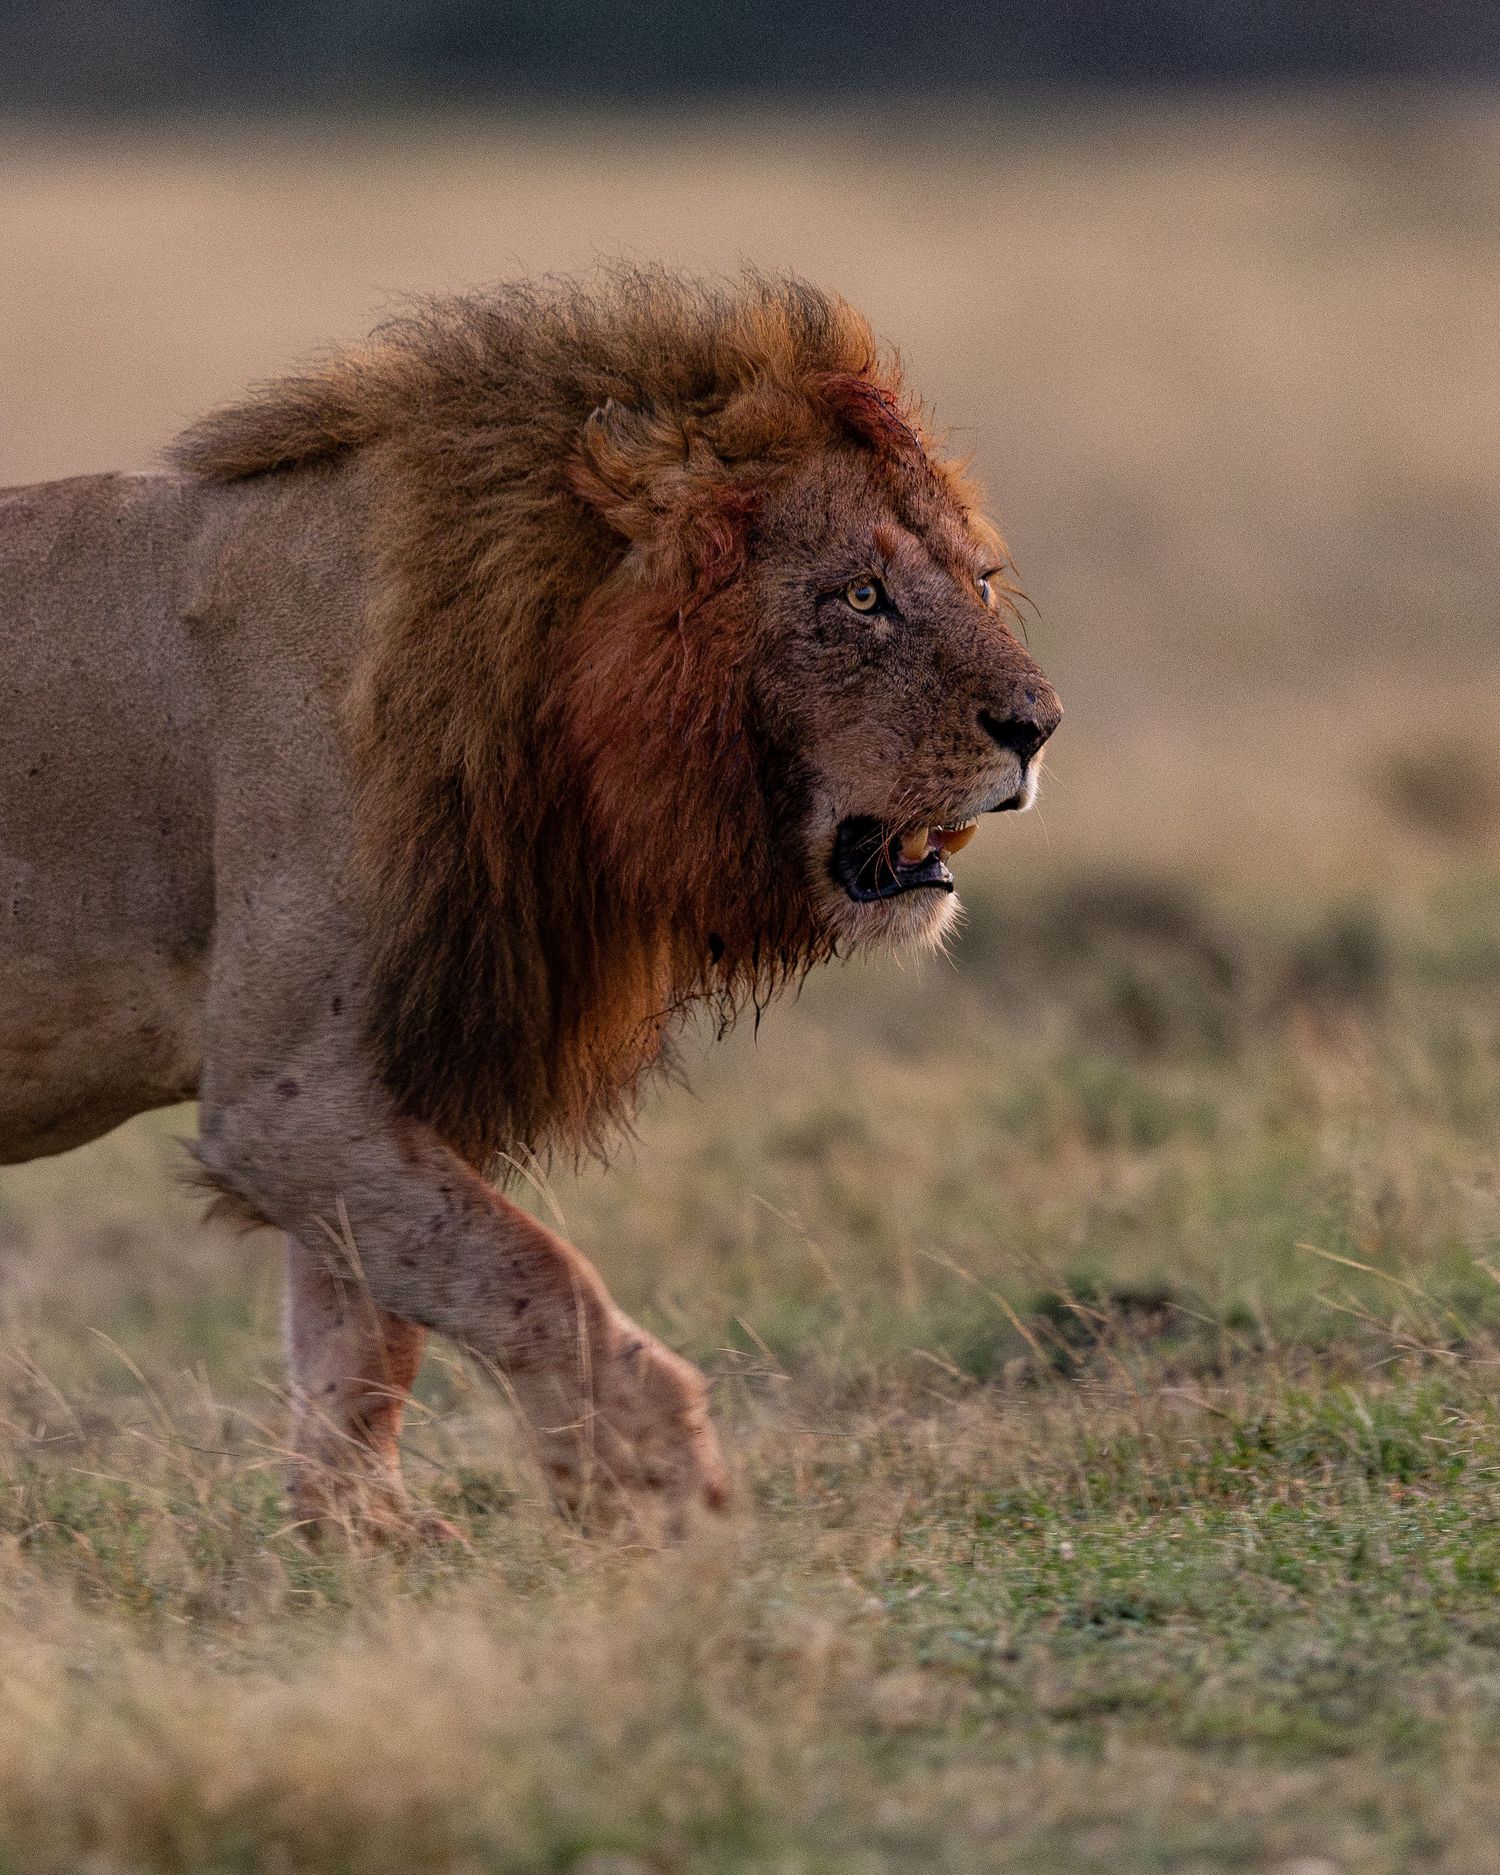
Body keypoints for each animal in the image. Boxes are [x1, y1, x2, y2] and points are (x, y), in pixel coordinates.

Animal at [0, 270, 1060, 1539]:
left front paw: (361, 1542)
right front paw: (668, 1501)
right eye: (862, 596)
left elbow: (363, 1341)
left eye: (981, 581)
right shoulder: (279, 1099)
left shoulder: (392, 1073)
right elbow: (536, 1281)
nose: (1040, 727)